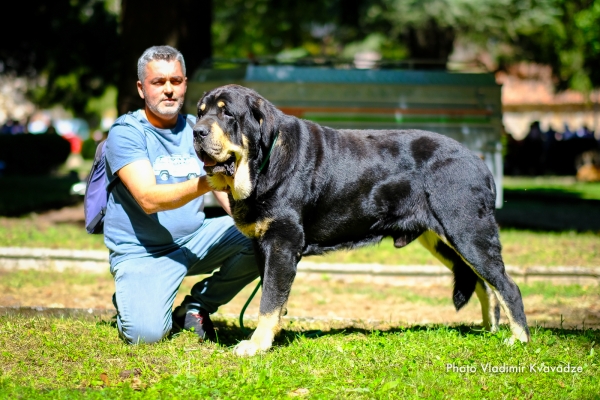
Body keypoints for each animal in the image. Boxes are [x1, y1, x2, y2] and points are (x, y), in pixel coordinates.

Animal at [192, 84, 528, 356]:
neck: (264, 163)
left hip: (468, 231)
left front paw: (256, 344)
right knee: (484, 283)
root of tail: (478, 162)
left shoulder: (281, 245)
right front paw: (270, 336)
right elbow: (272, 299)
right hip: (443, 240)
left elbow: (269, 299)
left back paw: (518, 338)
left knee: (507, 285)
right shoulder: (263, 246)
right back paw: (487, 329)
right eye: (200, 113)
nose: (197, 132)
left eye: (227, 114)